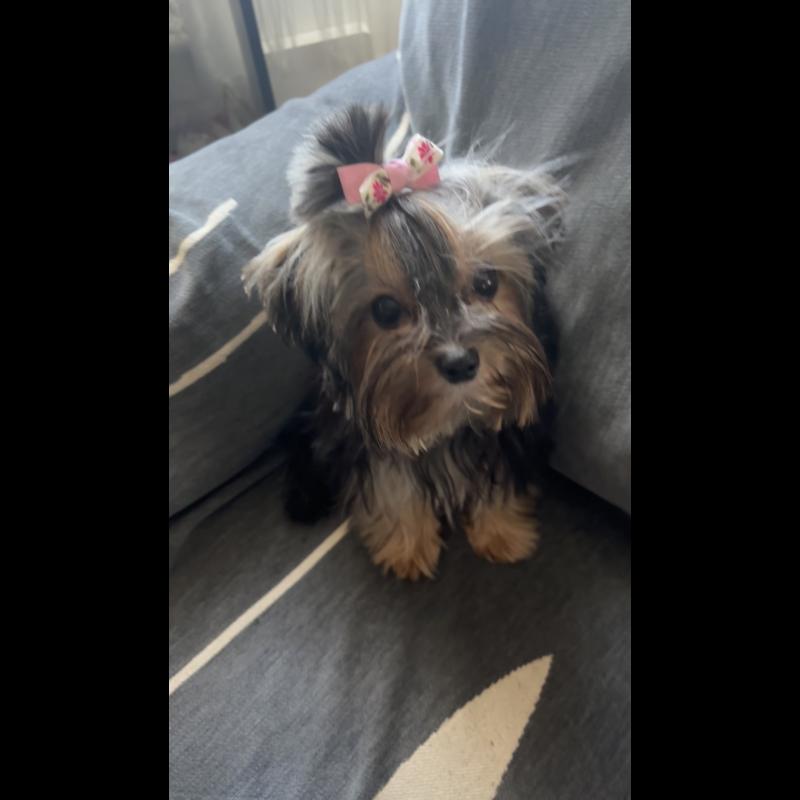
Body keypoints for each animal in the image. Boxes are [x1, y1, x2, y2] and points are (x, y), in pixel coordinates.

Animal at [244, 105, 565, 580]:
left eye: (487, 283)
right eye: (385, 310)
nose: (460, 362)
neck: (448, 421)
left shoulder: (507, 437)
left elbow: (499, 473)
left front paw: (502, 532)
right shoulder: (365, 441)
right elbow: (392, 484)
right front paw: (406, 546)